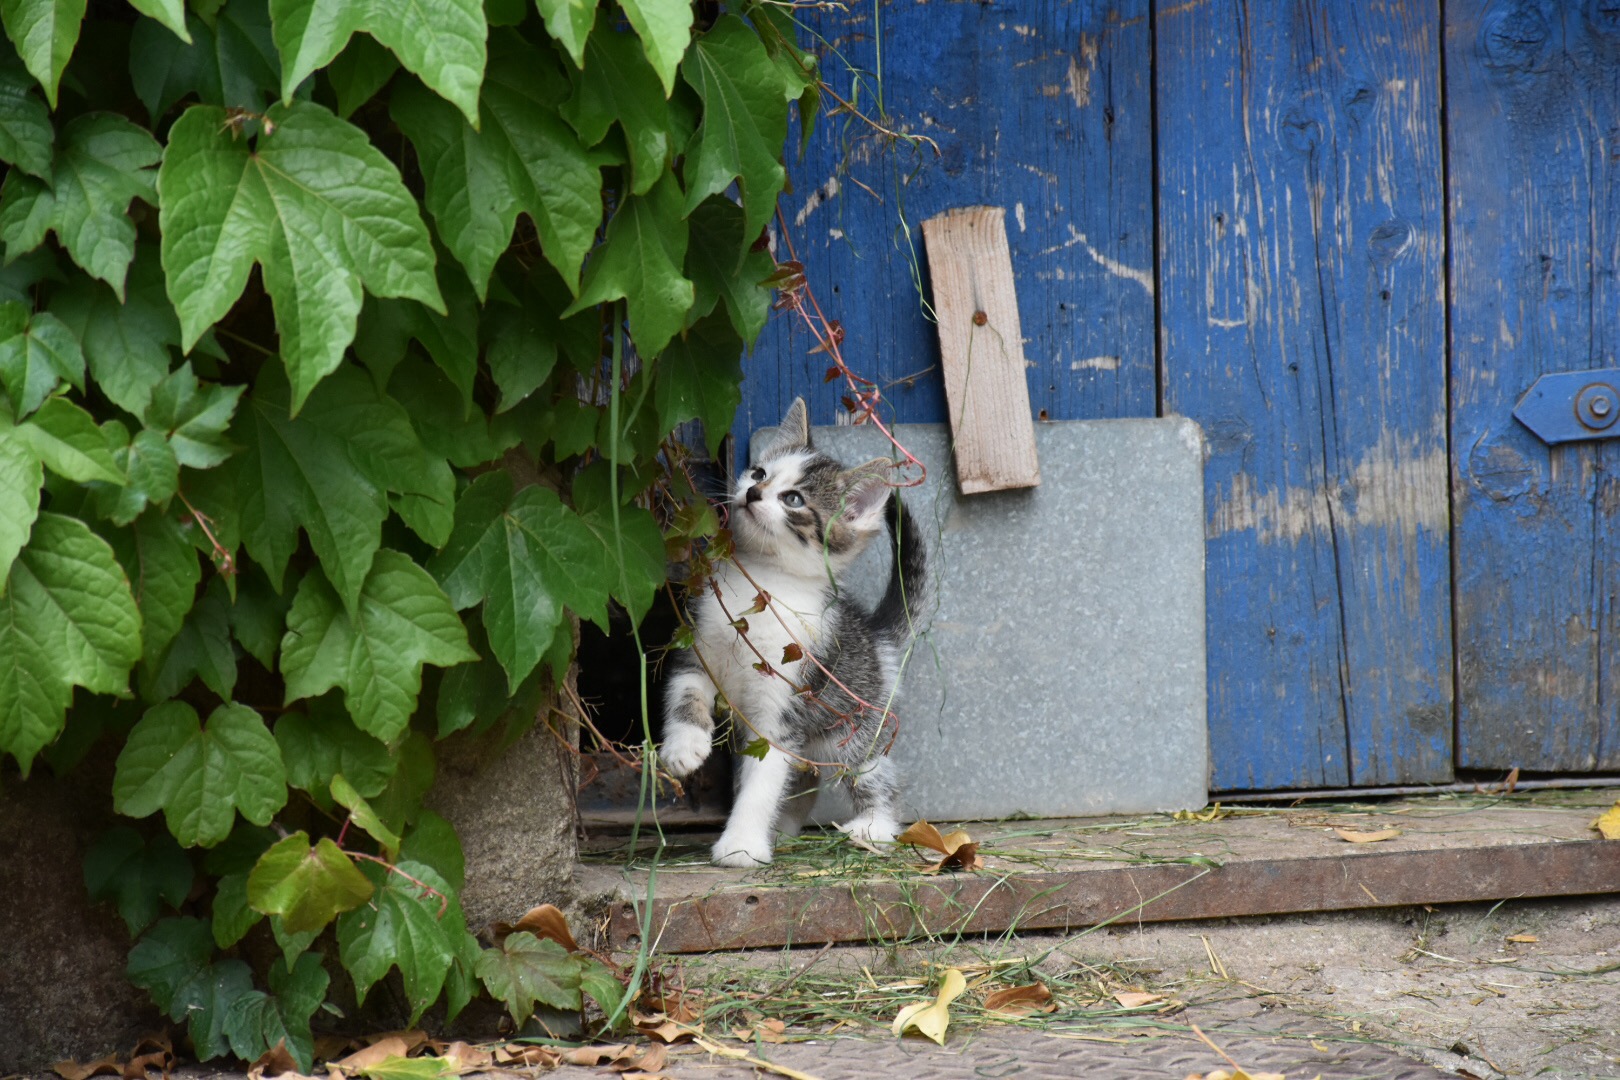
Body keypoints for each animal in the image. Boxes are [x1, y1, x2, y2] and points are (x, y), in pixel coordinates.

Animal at [654, 401, 926, 867]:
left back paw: (873, 826)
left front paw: (741, 844)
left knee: (874, 774)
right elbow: (685, 692)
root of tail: (877, 643)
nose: (752, 493)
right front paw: (684, 746)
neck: (763, 579)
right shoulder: (698, 648)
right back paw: (783, 830)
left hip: (851, 728)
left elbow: (762, 780)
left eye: (793, 499)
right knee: (804, 781)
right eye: (759, 473)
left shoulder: (783, 707)